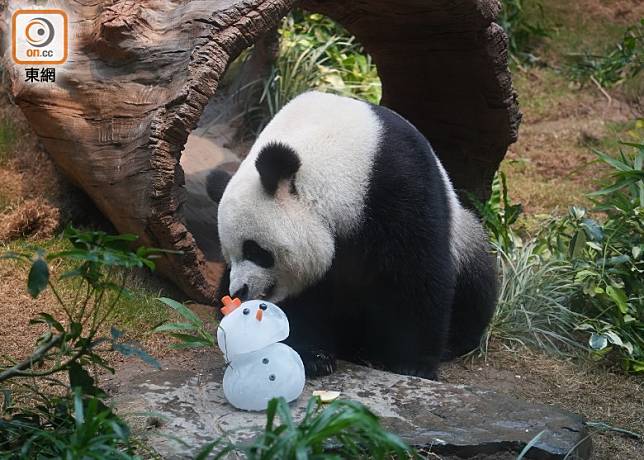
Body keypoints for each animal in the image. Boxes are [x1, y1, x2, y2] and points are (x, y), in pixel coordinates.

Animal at [210, 91, 498, 380]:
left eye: (255, 250)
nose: (239, 291)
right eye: (230, 256)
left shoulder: (398, 187)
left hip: (464, 235)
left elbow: (416, 275)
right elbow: (304, 300)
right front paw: (313, 357)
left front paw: (414, 366)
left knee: (477, 281)